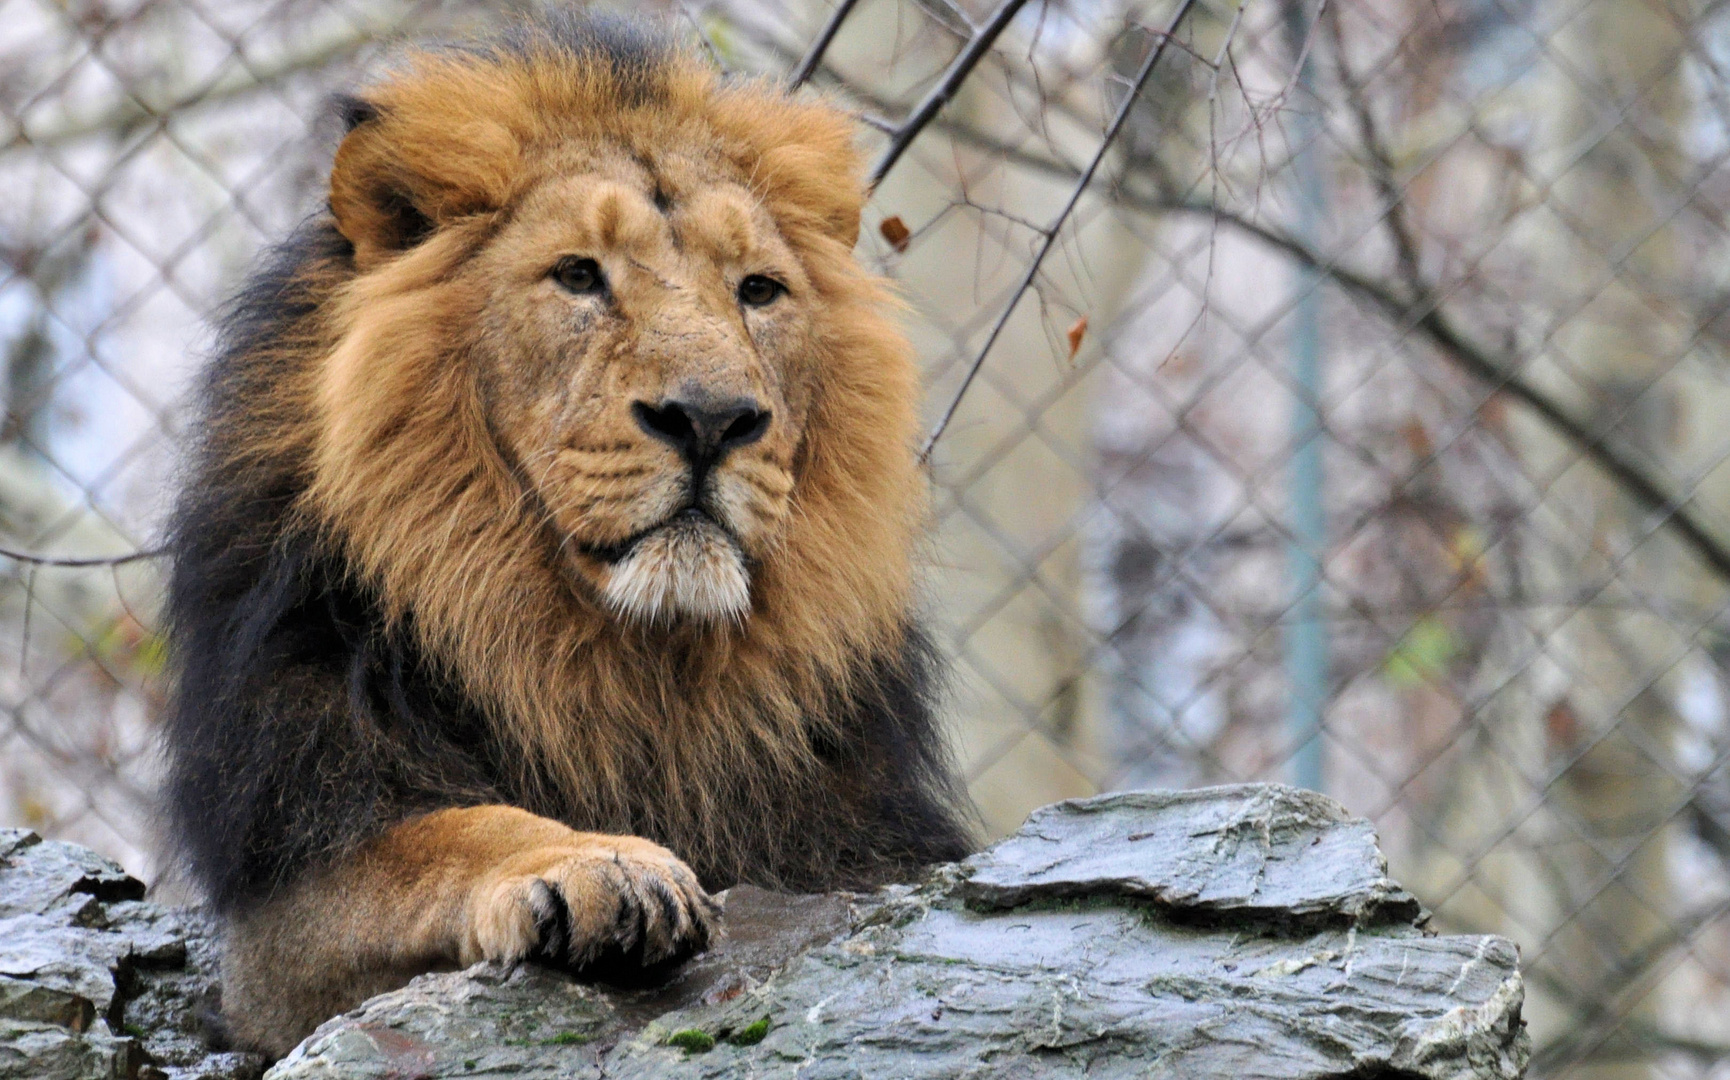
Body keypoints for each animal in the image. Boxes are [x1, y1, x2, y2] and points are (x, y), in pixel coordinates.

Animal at [165, 12, 975, 1059]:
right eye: (579, 276)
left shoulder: (863, 852)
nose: (711, 418)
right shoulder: (268, 938)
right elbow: (446, 834)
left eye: (759, 291)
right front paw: (601, 869)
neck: (631, 674)